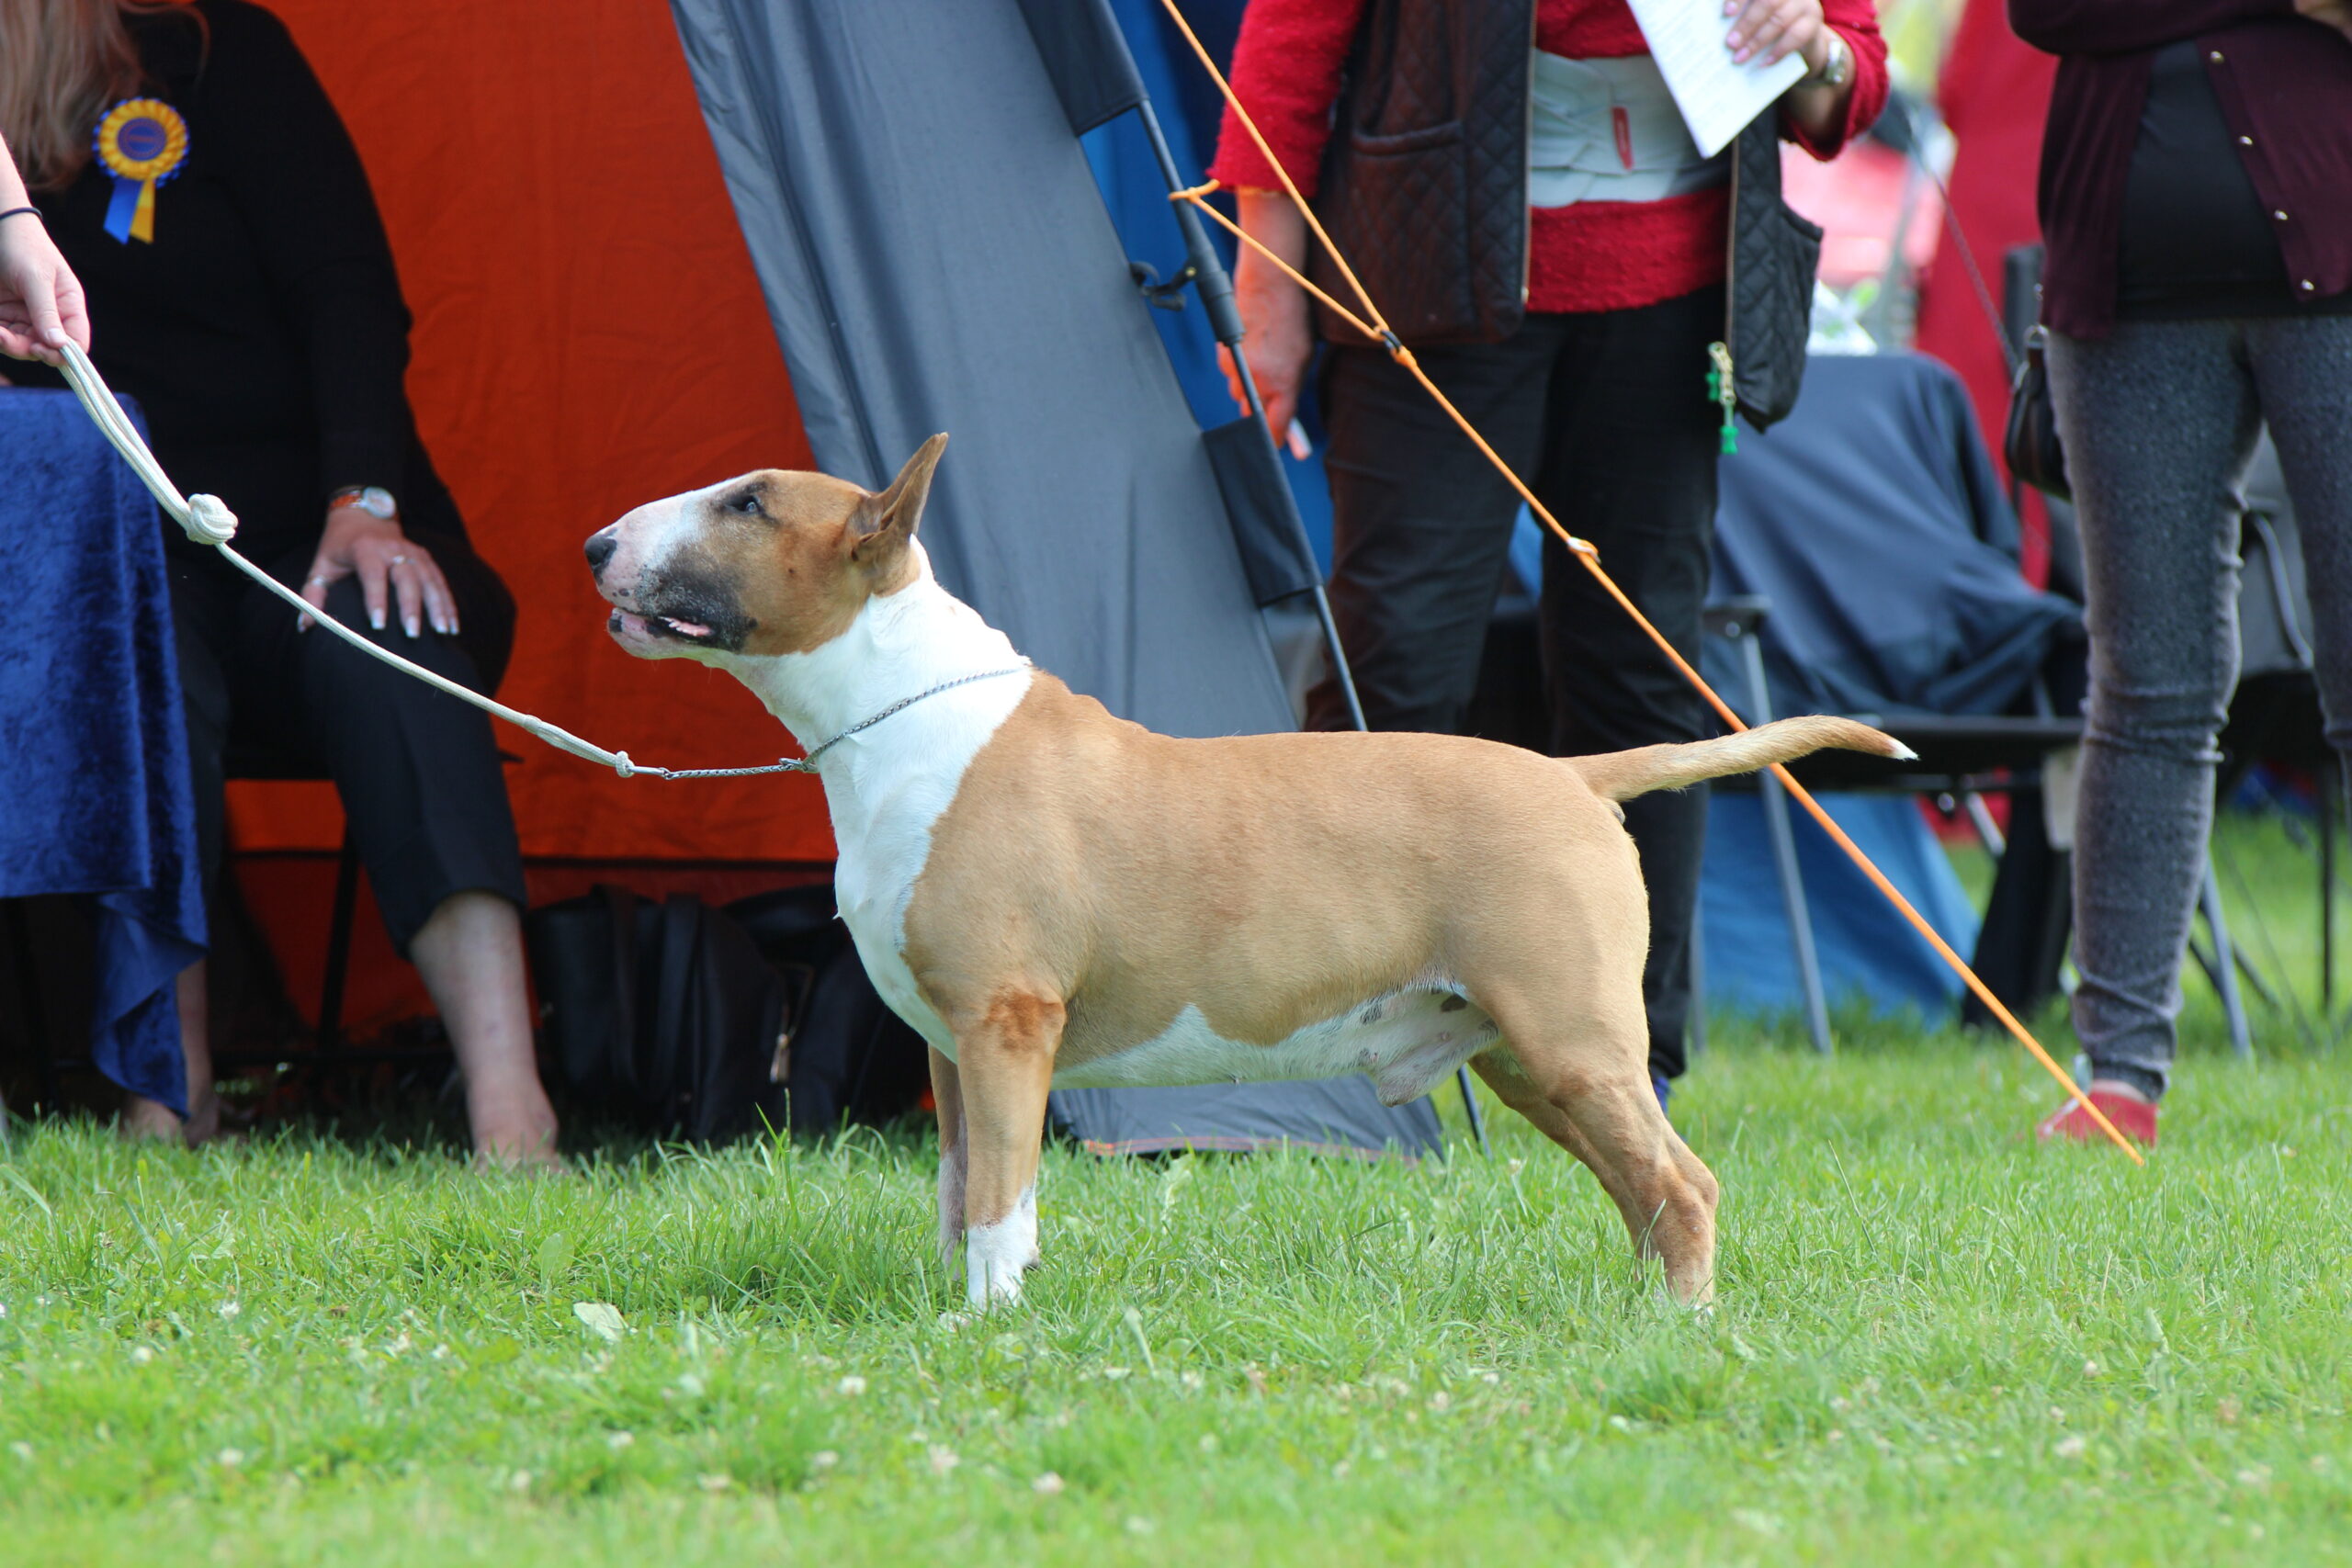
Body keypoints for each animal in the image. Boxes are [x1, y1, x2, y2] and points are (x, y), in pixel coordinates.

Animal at [588, 439, 1909, 1316]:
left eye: (750, 503)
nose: (597, 543)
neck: (900, 713)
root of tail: (1576, 774)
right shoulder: (951, 1046)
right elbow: (961, 1191)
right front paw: (961, 1317)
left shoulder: (1009, 1023)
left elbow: (1004, 1196)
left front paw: (997, 1335)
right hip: (1524, 1056)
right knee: (1638, 1185)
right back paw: (1639, 1318)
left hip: (1571, 1032)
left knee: (1681, 1180)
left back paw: (1681, 1326)